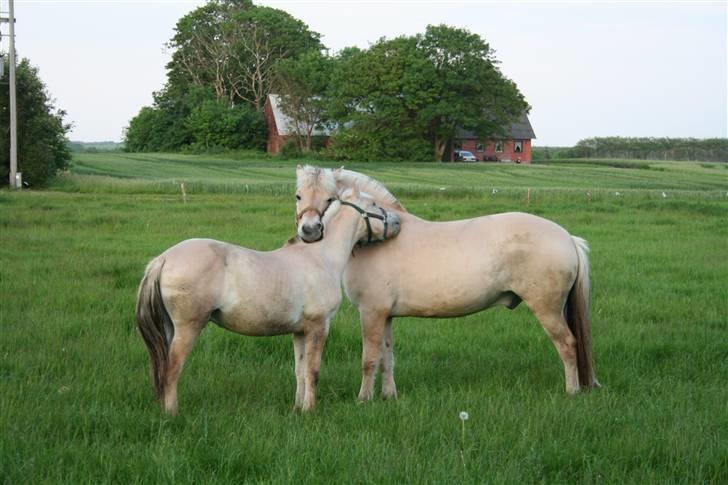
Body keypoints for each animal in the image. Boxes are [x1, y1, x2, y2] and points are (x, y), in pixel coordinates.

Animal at [136, 185, 404, 412]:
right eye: (374, 204)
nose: (397, 222)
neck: (321, 257)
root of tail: (163, 259)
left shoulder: (300, 331)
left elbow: (299, 370)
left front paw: (298, 408)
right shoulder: (318, 326)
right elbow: (313, 370)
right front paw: (310, 409)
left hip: (170, 328)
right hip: (188, 328)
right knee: (171, 370)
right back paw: (172, 414)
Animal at [292, 164, 600, 398]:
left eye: (330, 199)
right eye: (298, 196)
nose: (309, 231)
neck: (377, 236)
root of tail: (567, 237)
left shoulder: (371, 312)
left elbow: (369, 360)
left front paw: (363, 399)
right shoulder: (386, 315)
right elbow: (386, 358)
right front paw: (389, 396)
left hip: (547, 309)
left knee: (568, 345)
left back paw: (571, 391)